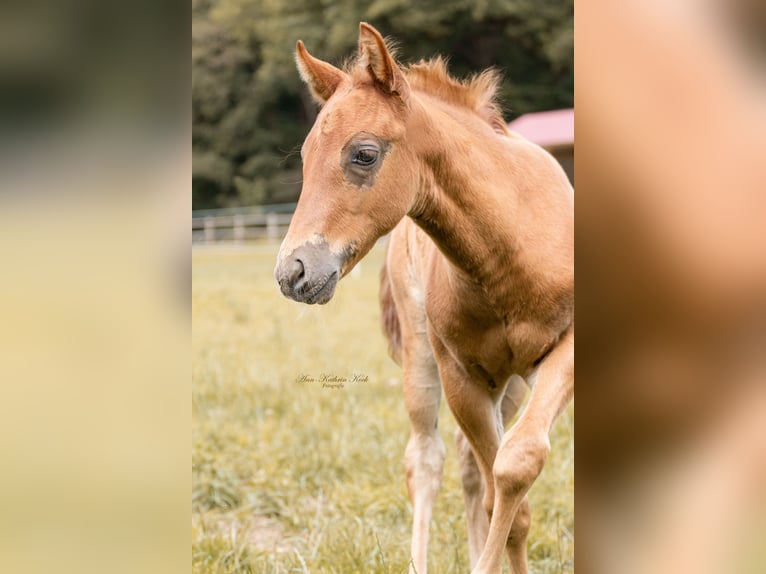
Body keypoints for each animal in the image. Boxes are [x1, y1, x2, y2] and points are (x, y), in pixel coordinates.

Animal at [274, 23, 573, 574]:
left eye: (364, 154)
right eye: (305, 157)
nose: (292, 272)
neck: (514, 251)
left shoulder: (565, 353)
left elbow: (516, 466)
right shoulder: (461, 376)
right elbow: (504, 498)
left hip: (512, 383)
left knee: (470, 465)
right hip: (422, 356)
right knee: (427, 460)